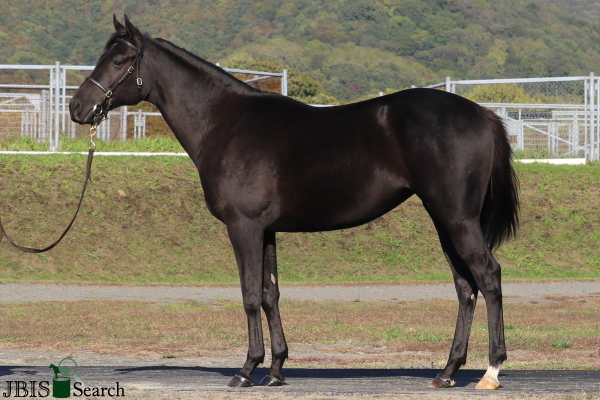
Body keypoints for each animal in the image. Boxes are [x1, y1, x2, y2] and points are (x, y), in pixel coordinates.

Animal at [69, 17, 520, 390]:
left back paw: (491, 371)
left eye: (119, 60)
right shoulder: (267, 230)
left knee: (488, 276)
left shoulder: (244, 227)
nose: (77, 107)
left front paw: (246, 370)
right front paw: (275, 371)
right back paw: (447, 372)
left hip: (457, 218)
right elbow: (271, 294)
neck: (226, 123)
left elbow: (250, 294)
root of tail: (482, 115)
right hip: (444, 220)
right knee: (465, 287)